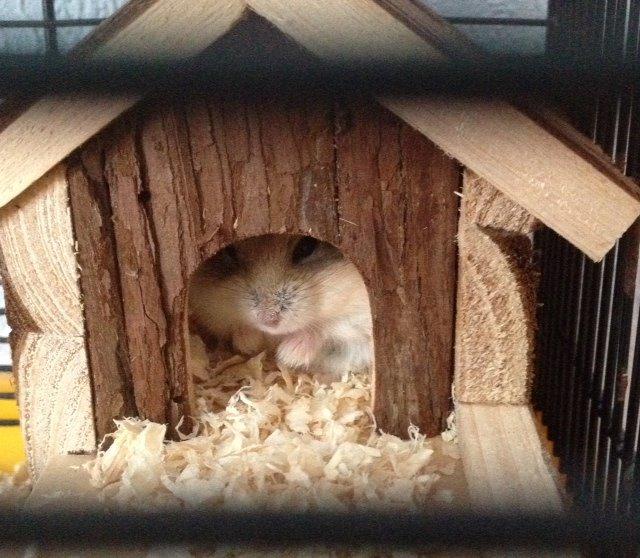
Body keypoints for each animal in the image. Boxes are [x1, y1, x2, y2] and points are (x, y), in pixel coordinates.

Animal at [188, 234, 373, 380]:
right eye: (229, 252)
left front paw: (287, 355)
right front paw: (250, 343)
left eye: (307, 245)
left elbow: (326, 329)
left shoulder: (360, 322)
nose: (268, 321)